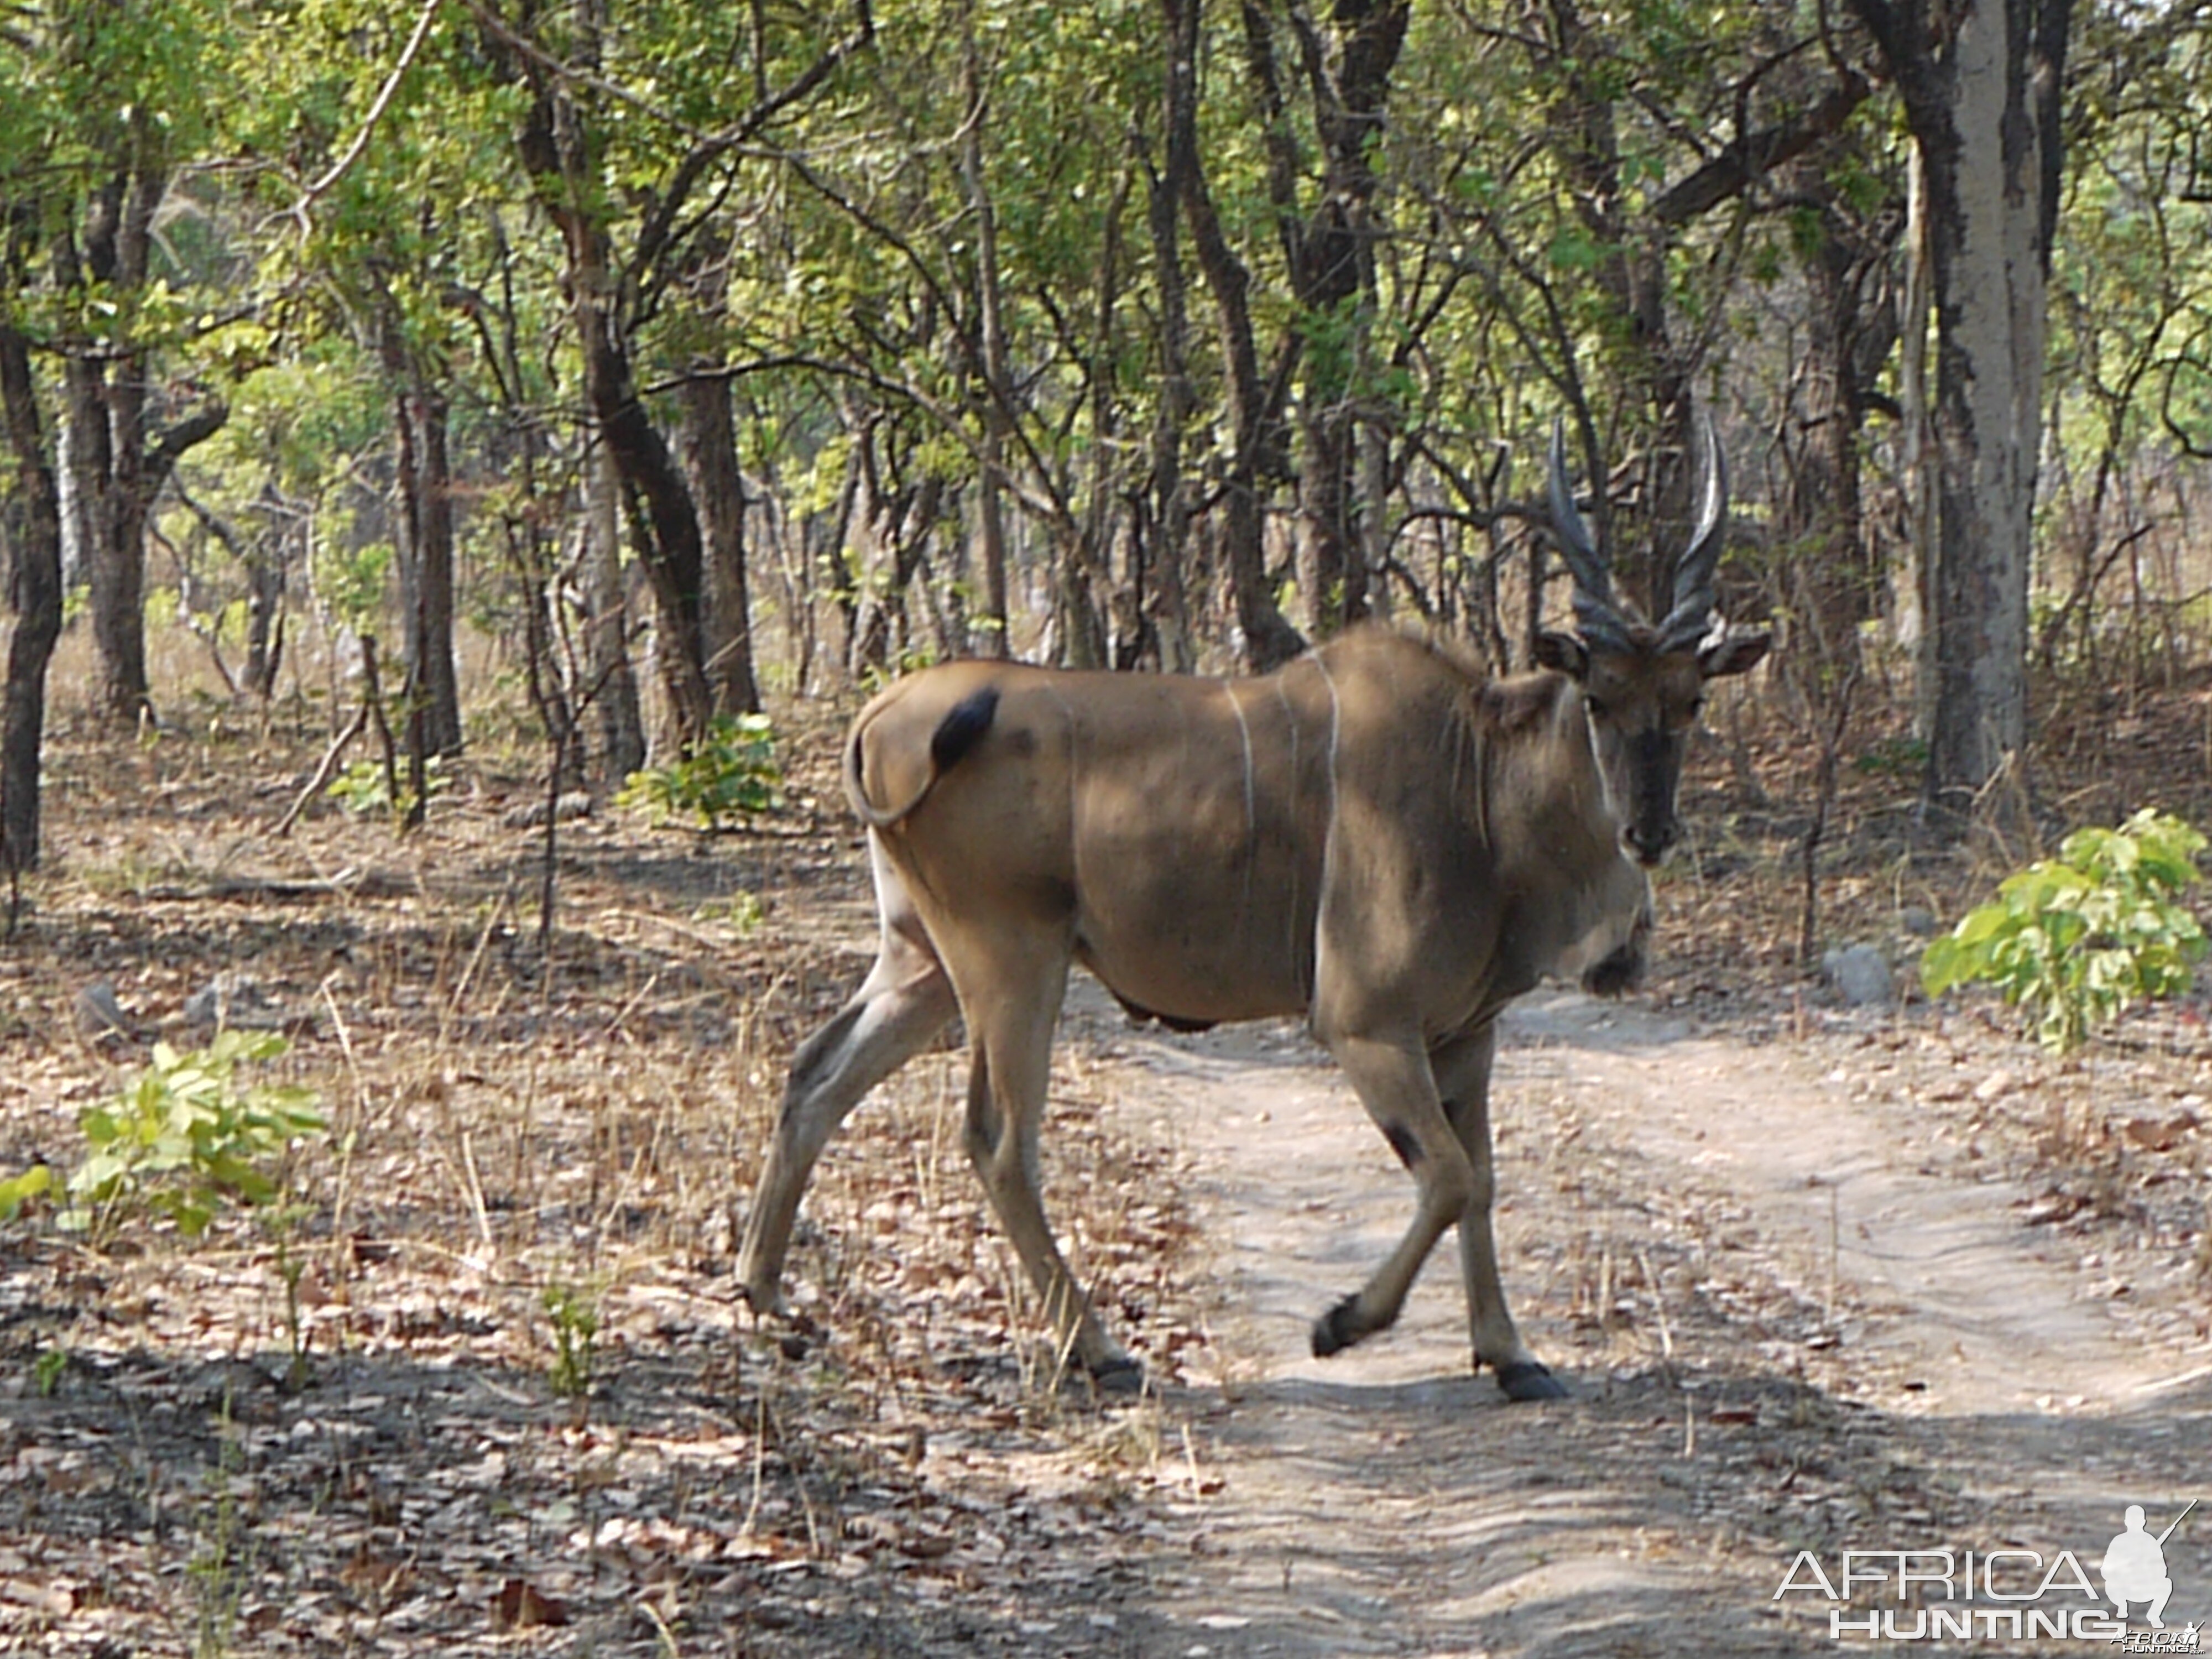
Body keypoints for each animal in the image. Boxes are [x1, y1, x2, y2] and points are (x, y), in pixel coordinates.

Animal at [734, 416, 1770, 1407]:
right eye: (1599, 696)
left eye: (1691, 699)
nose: (1649, 830)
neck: (1475, 773)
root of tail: (885, 718)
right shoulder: (1364, 1025)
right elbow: (1447, 1177)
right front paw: (1341, 1323)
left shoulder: (1466, 1036)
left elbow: (1481, 1184)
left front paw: (1513, 1357)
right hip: (1010, 958)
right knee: (996, 1139)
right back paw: (1102, 1353)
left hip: (922, 963)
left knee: (814, 1075)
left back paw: (765, 1291)